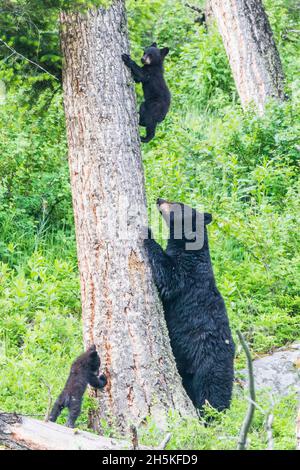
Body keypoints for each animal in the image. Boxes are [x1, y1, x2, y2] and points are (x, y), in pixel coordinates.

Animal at [144, 198, 236, 412]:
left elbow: (169, 278)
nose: (159, 199)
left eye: (176, 203)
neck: (189, 248)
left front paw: (148, 233)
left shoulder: (188, 273)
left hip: (210, 365)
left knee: (212, 394)